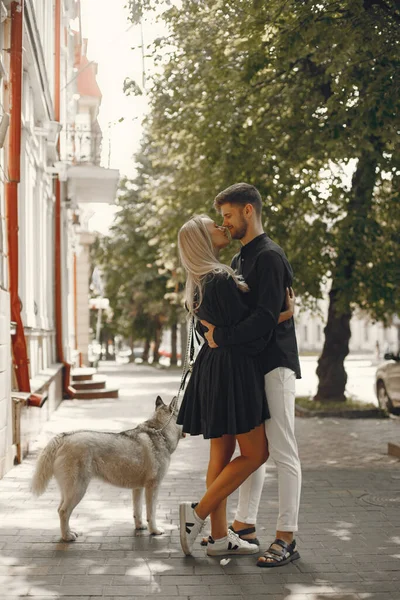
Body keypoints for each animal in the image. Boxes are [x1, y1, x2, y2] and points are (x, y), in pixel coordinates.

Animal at [31, 396, 183, 540]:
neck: (160, 431)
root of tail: (64, 437)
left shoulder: (138, 488)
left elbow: (137, 511)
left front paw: (140, 527)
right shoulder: (153, 486)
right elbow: (151, 513)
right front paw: (154, 531)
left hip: (68, 491)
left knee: (59, 510)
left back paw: (68, 532)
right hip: (78, 490)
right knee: (64, 512)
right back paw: (67, 537)